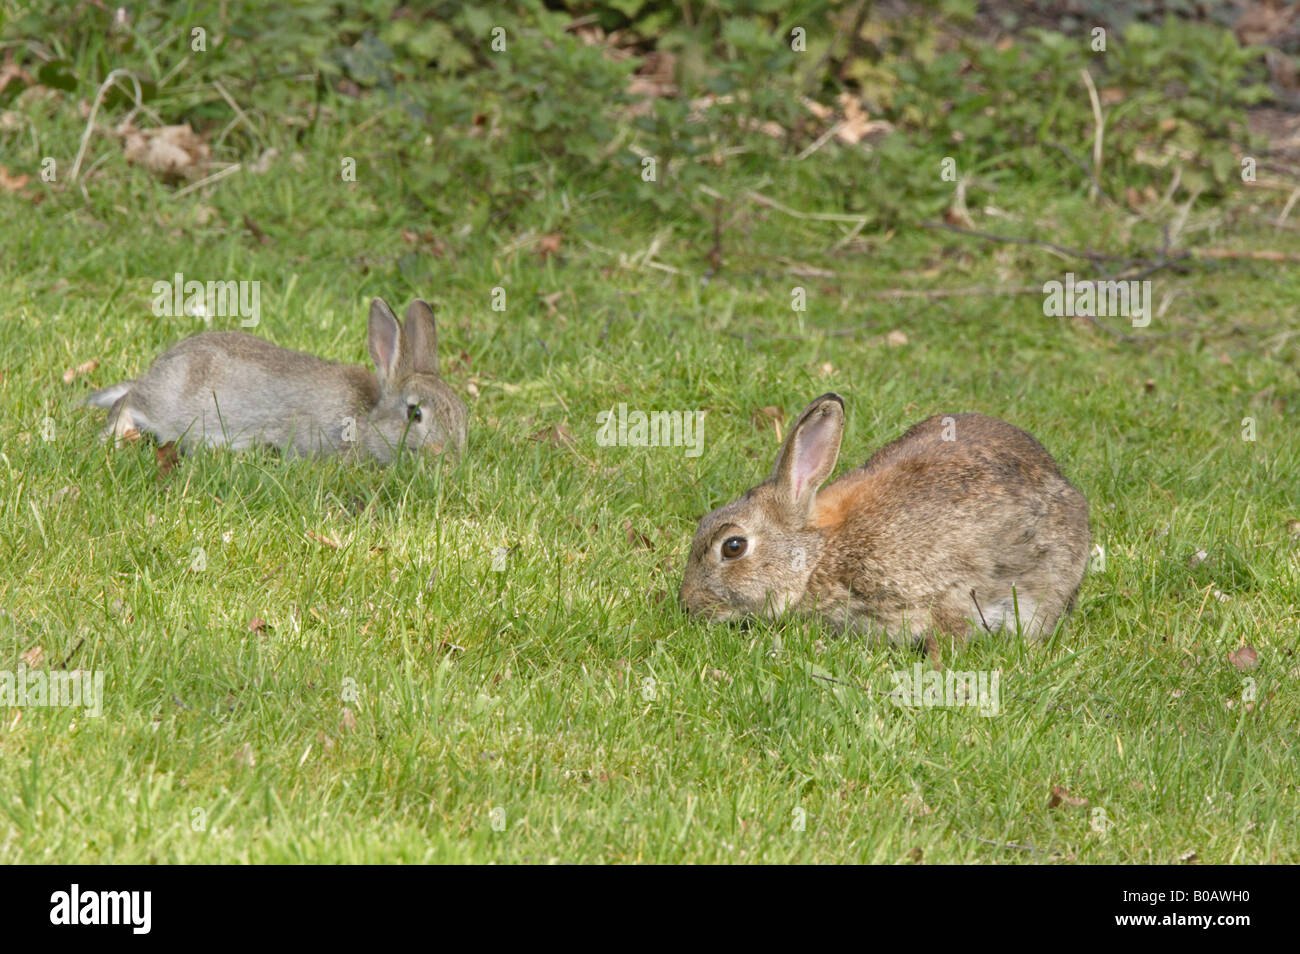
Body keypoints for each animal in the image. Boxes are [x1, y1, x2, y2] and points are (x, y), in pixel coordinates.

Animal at [83, 298, 467, 462]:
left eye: (463, 412)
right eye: (414, 413)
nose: (448, 456)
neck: (367, 416)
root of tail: (157, 370)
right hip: (168, 407)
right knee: (128, 402)